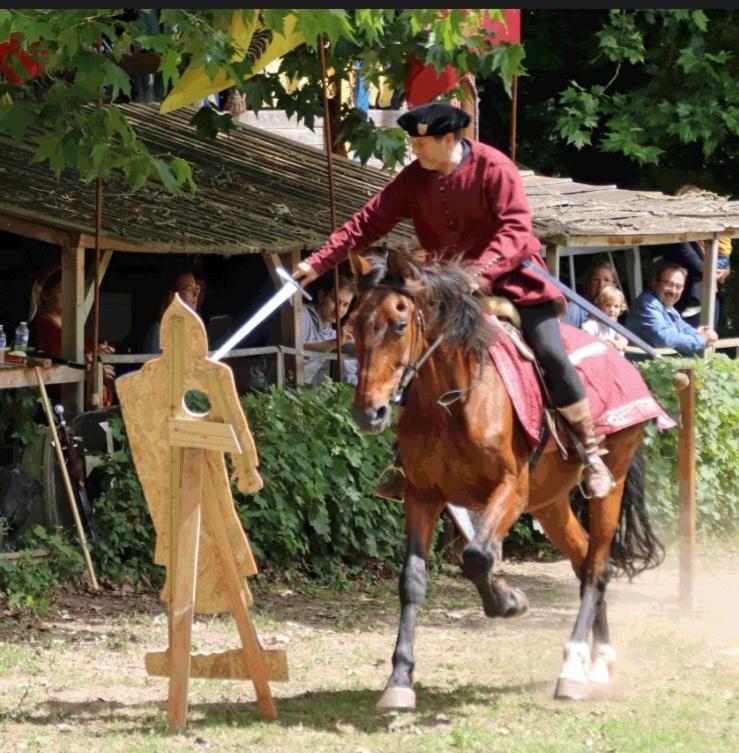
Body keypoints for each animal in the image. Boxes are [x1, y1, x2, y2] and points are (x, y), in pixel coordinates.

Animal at [346, 247, 664, 712]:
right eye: (352, 324)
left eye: (399, 324)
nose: (369, 413)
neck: (451, 400)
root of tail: (621, 360)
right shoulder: (423, 496)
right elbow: (412, 580)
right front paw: (400, 679)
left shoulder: (510, 491)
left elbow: (478, 556)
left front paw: (509, 601)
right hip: (550, 504)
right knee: (586, 560)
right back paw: (599, 660)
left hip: (612, 481)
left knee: (595, 567)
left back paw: (573, 667)